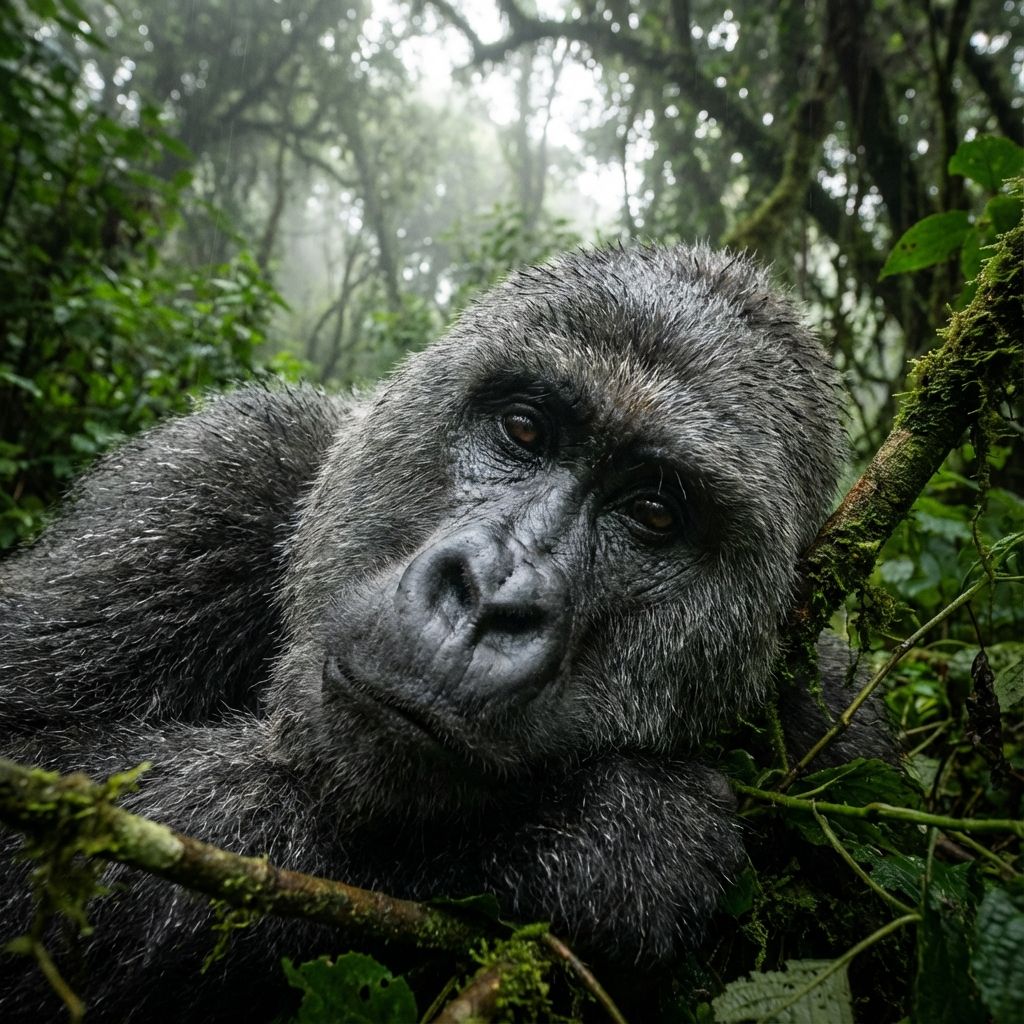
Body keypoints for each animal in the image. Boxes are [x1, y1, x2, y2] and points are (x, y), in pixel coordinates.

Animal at [0, 244, 891, 1021]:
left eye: (654, 513)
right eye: (525, 430)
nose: (488, 600)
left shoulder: (835, 732)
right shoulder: (213, 475)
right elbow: (34, 775)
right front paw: (602, 837)